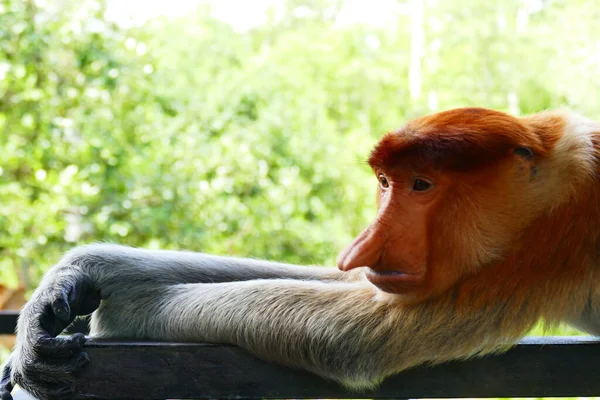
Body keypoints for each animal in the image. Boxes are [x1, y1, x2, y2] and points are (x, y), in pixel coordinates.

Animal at [1, 107, 600, 400]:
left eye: (422, 185)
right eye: (386, 182)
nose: (360, 245)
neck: (551, 175)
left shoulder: (552, 241)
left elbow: (356, 339)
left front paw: (123, 307)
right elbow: (359, 289)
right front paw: (72, 280)